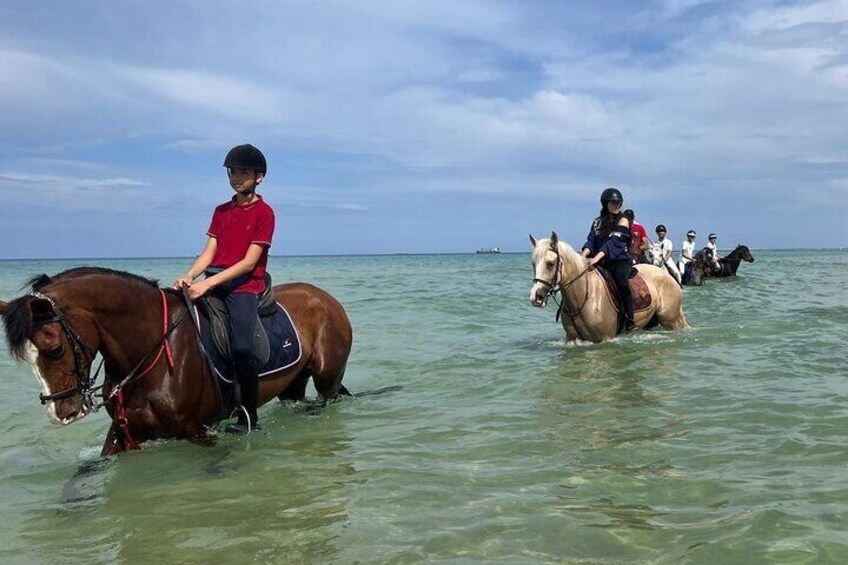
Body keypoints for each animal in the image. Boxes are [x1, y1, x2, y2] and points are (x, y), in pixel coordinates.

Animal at [0, 266, 352, 456]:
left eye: (55, 349)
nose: (61, 413)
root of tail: (326, 298)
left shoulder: (199, 432)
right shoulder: (123, 435)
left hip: (327, 381)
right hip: (293, 385)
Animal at [528, 230, 688, 344]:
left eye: (550, 264)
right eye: (533, 264)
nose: (536, 297)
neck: (584, 296)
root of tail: (668, 277)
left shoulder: (605, 339)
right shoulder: (571, 340)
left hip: (672, 320)